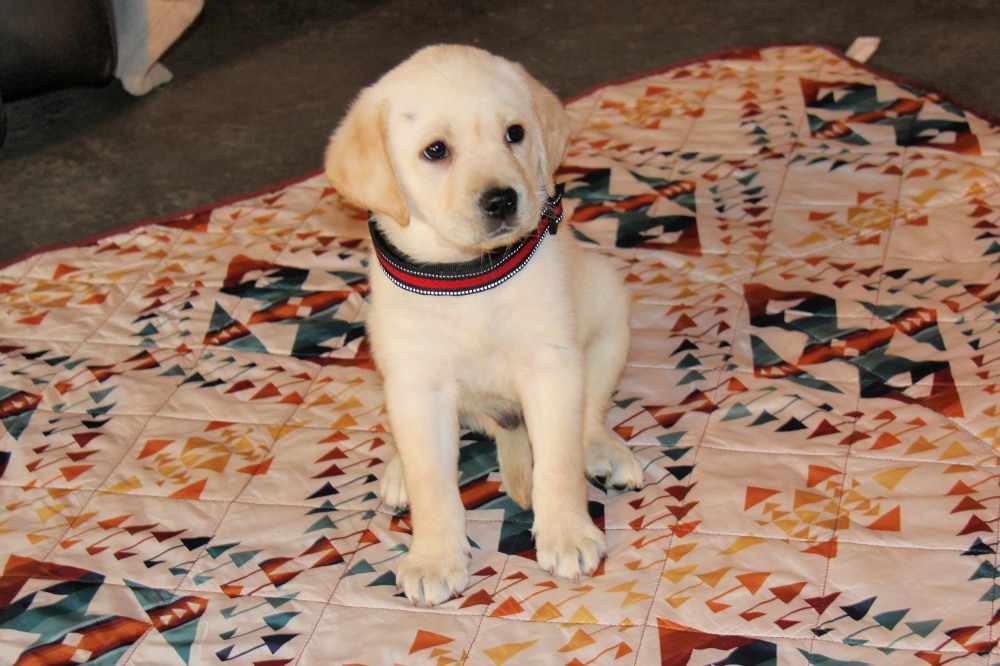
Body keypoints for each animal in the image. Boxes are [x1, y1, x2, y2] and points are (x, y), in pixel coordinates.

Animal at [324, 44, 644, 604]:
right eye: (435, 151)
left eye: (514, 133)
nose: (501, 200)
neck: (469, 273)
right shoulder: (419, 382)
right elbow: (432, 480)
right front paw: (434, 556)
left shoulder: (550, 366)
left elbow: (557, 462)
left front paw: (567, 532)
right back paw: (398, 470)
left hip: (608, 314)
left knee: (589, 415)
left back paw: (604, 449)